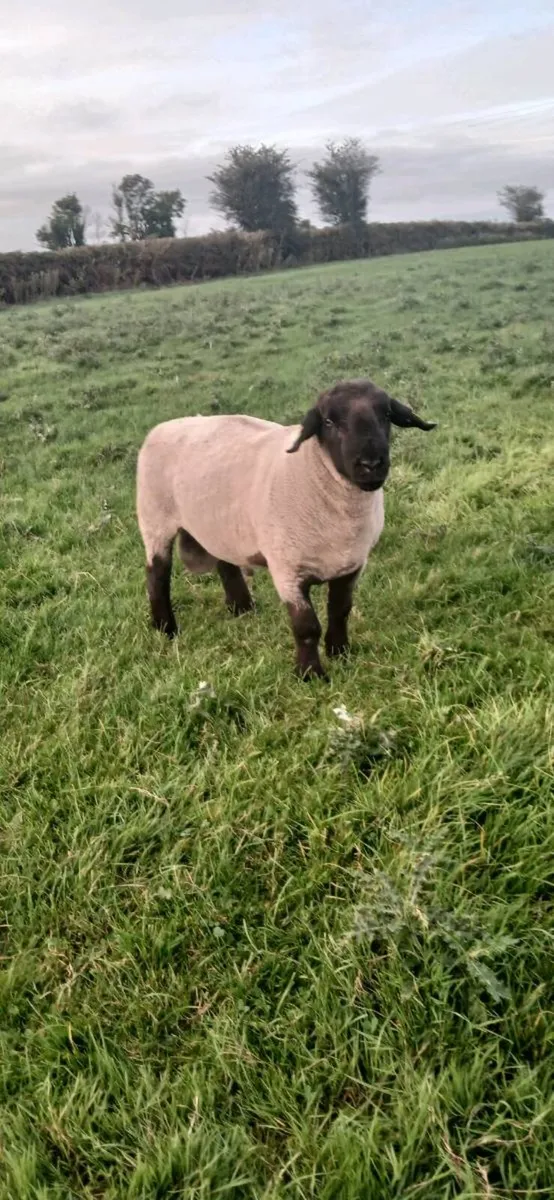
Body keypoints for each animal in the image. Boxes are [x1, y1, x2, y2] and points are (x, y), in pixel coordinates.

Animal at [136, 379, 436, 678]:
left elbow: (340, 611)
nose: (371, 465)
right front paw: (310, 674)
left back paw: (242, 608)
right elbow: (306, 627)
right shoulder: (287, 570)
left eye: (386, 415)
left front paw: (340, 653)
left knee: (225, 561)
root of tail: (164, 426)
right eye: (328, 421)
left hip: (218, 524)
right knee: (157, 575)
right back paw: (166, 628)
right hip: (154, 520)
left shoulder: (352, 565)